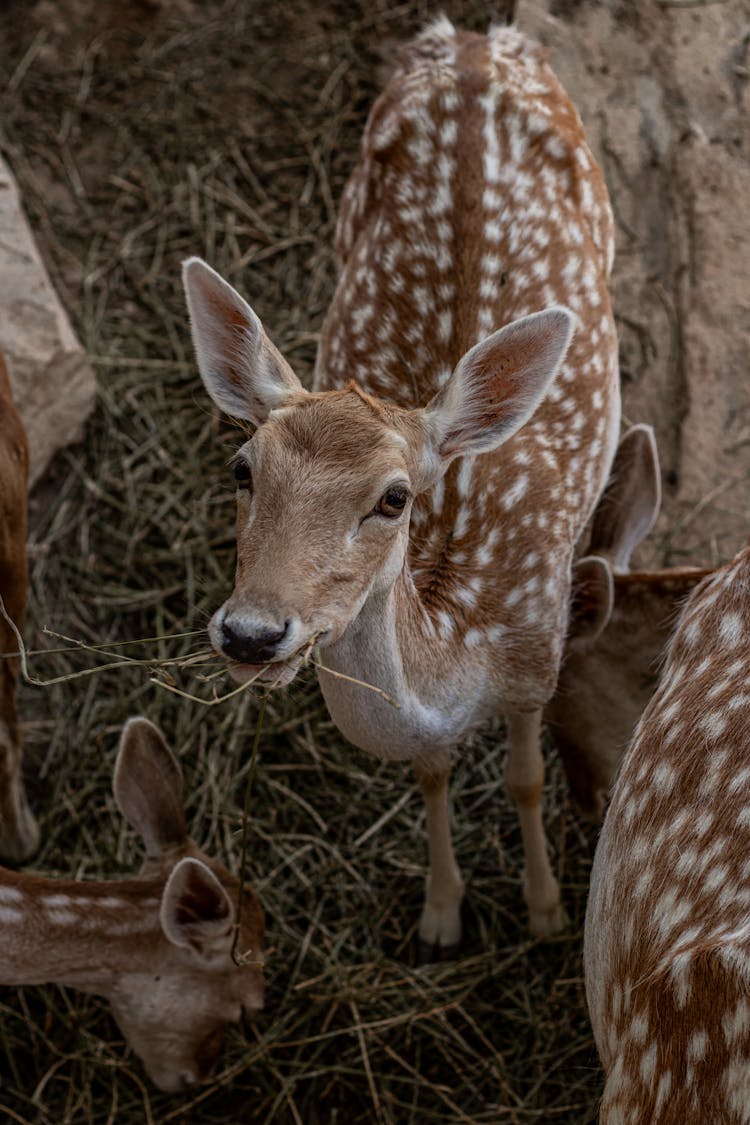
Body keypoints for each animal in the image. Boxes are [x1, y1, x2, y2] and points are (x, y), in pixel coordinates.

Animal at [183, 17, 620, 949]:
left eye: (394, 497)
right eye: (242, 468)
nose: (251, 632)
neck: (466, 643)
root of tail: (474, 38)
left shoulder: (541, 653)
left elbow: (526, 776)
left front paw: (543, 909)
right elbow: (429, 774)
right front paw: (441, 915)